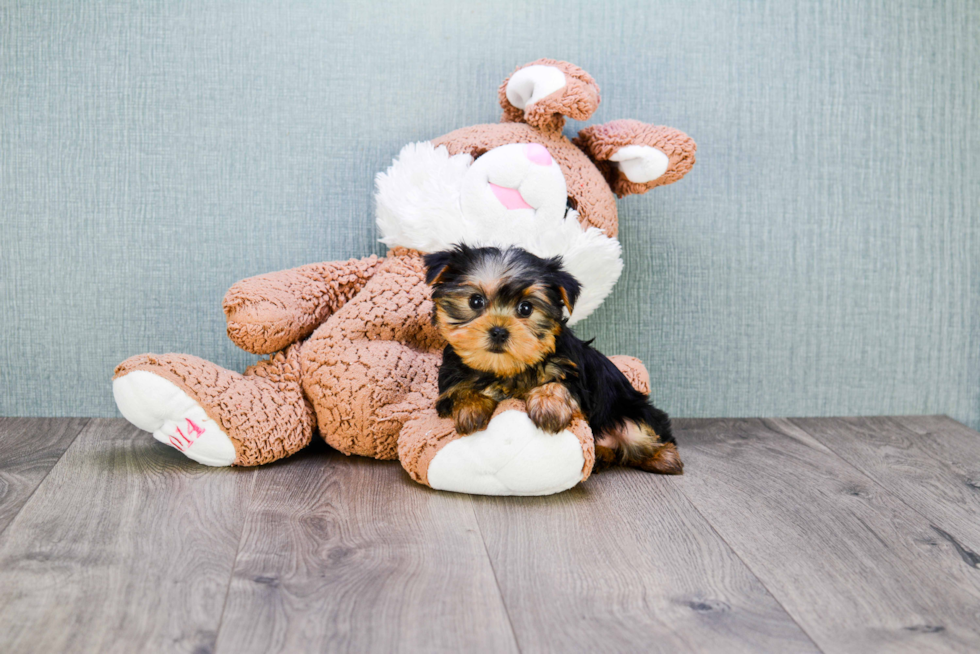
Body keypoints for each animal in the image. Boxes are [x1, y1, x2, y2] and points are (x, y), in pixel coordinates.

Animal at [424, 246, 684, 476]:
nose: (498, 331)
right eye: (475, 301)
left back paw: (666, 458)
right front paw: (471, 408)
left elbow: (558, 384)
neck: (506, 370)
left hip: (631, 415)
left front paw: (548, 407)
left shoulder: (575, 373)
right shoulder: (449, 382)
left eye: (526, 308)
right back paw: (601, 457)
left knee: (645, 436)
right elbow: (460, 391)